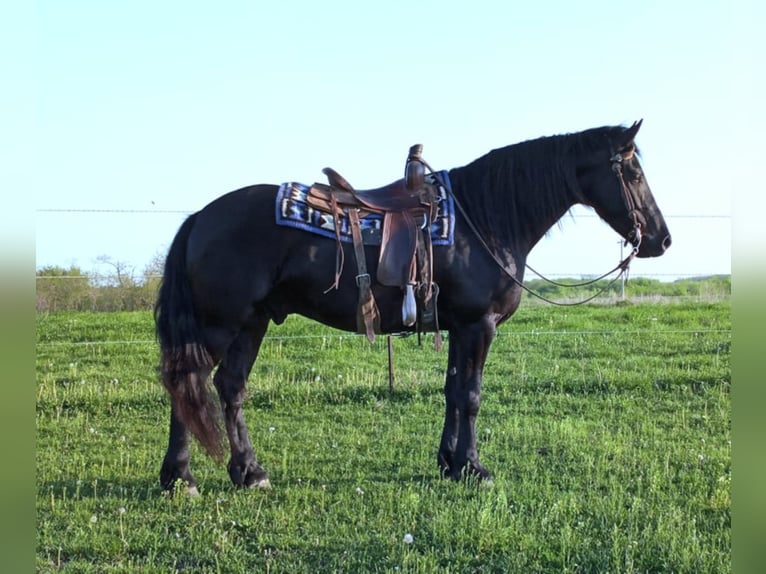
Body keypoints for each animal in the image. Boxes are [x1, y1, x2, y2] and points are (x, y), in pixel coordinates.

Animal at [154, 121, 672, 496]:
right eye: (633, 173)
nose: (661, 240)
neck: (485, 216)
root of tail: (201, 216)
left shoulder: (458, 326)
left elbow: (452, 392)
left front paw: (449, 463)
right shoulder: (478, 325)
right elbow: (471, 395)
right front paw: (474, 468)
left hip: (253, 321)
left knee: (230, 386)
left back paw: (249, 472)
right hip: (221, 324)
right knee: (189, 384)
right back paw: (180, 478)